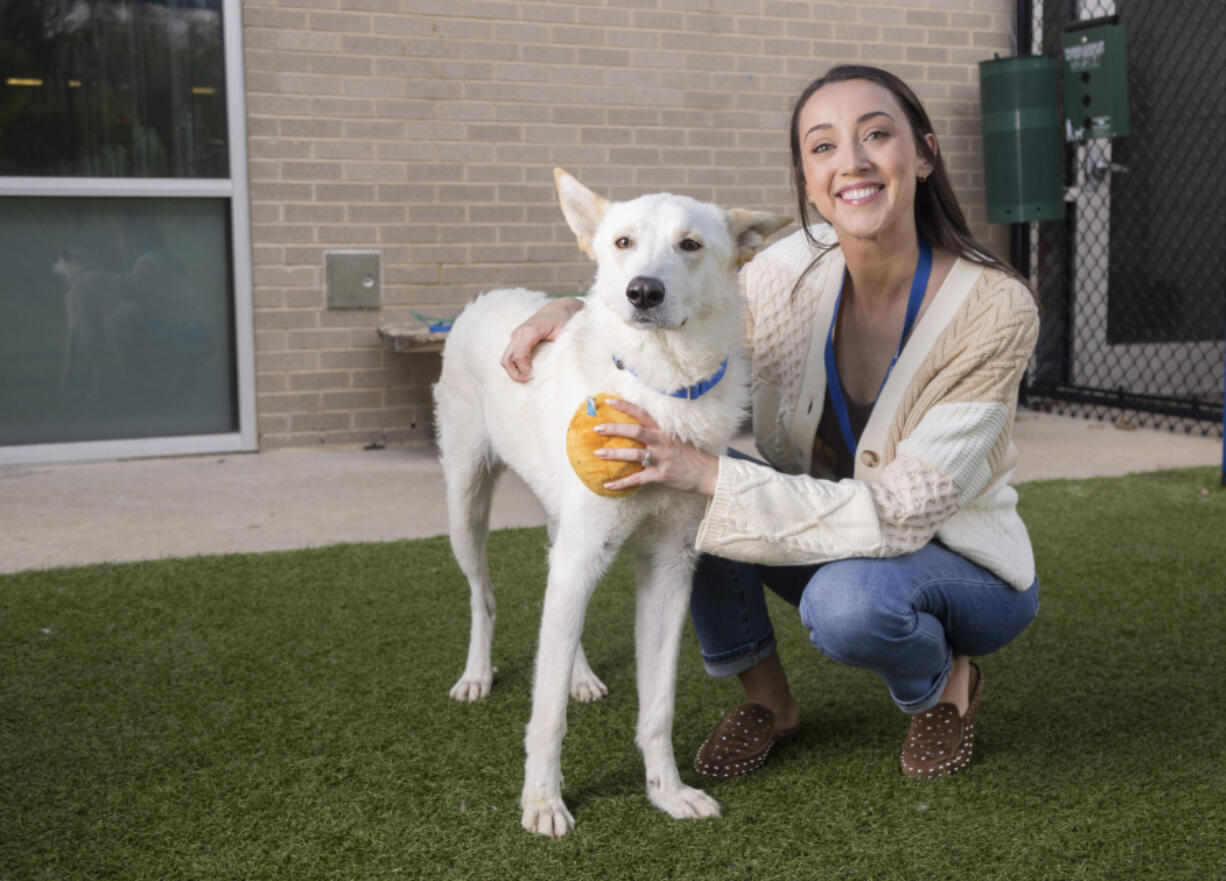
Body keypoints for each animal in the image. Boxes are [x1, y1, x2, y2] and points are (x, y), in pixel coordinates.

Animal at [436, 169, 789, 838]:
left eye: (690, 245)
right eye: (623, 242)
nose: (642, 292)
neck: (661, 386)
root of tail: (485, 296)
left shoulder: (669, 568)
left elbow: (658, 707)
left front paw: (667, 793)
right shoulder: (583, 557)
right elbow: (545, 714)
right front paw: (543, 803)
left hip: (562, 531)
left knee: (556, 620)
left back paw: (579, 675)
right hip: (465, 507)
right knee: (482, 596)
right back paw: (475, 675)